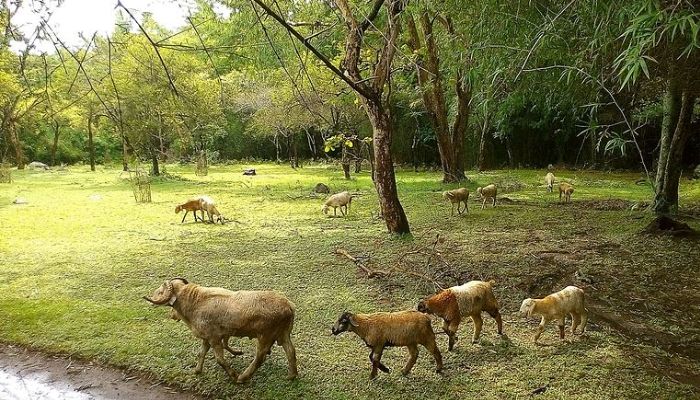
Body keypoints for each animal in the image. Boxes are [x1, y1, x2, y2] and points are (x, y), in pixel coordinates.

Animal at [144, 276, 296, 382]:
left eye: (160, 291)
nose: (172, 316)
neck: (194, 302)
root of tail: (289, 306)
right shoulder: (206, 337)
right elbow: (201, 353)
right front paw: (197, 371)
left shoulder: (214, 337)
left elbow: (219, 359)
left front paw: (233, 375)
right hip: (283, 333)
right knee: (290, 351)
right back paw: (291, 375)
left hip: (266, 336)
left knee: (260, 358)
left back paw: (242, 377)